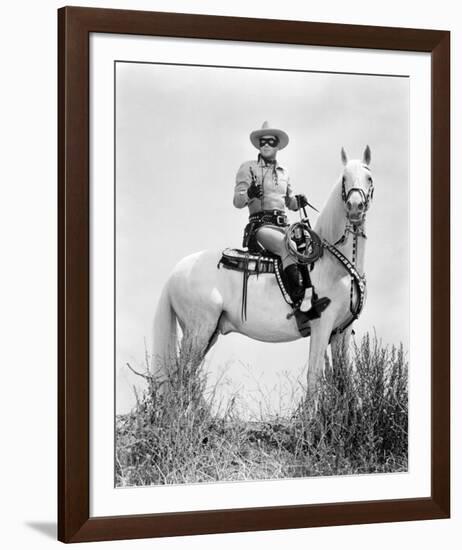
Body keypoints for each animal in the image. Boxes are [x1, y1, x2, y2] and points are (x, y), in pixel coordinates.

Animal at [153, 147, 374, 396]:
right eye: (344, 178)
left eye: (369, 177)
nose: (355, 207)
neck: (335, 267)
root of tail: (176, 271)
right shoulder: (322, 325)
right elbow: (314, 376)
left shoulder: (341, 331)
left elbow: (344, 380)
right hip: (198, 330)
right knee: (179, 379)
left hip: (207, 333)